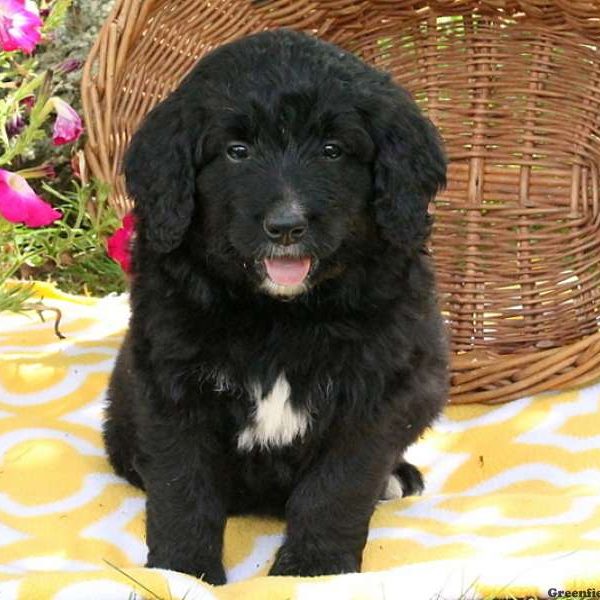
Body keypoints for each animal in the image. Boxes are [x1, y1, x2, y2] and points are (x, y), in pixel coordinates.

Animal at [104, 28, 450, 584]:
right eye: (237, 151)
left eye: (332, 150)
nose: (286, 226)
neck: (281, 315)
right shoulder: (171, 384)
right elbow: (182, 486)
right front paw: (181, 573)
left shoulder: (375, 392)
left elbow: (337, 487)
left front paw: (313, 572)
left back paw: (397, 477)